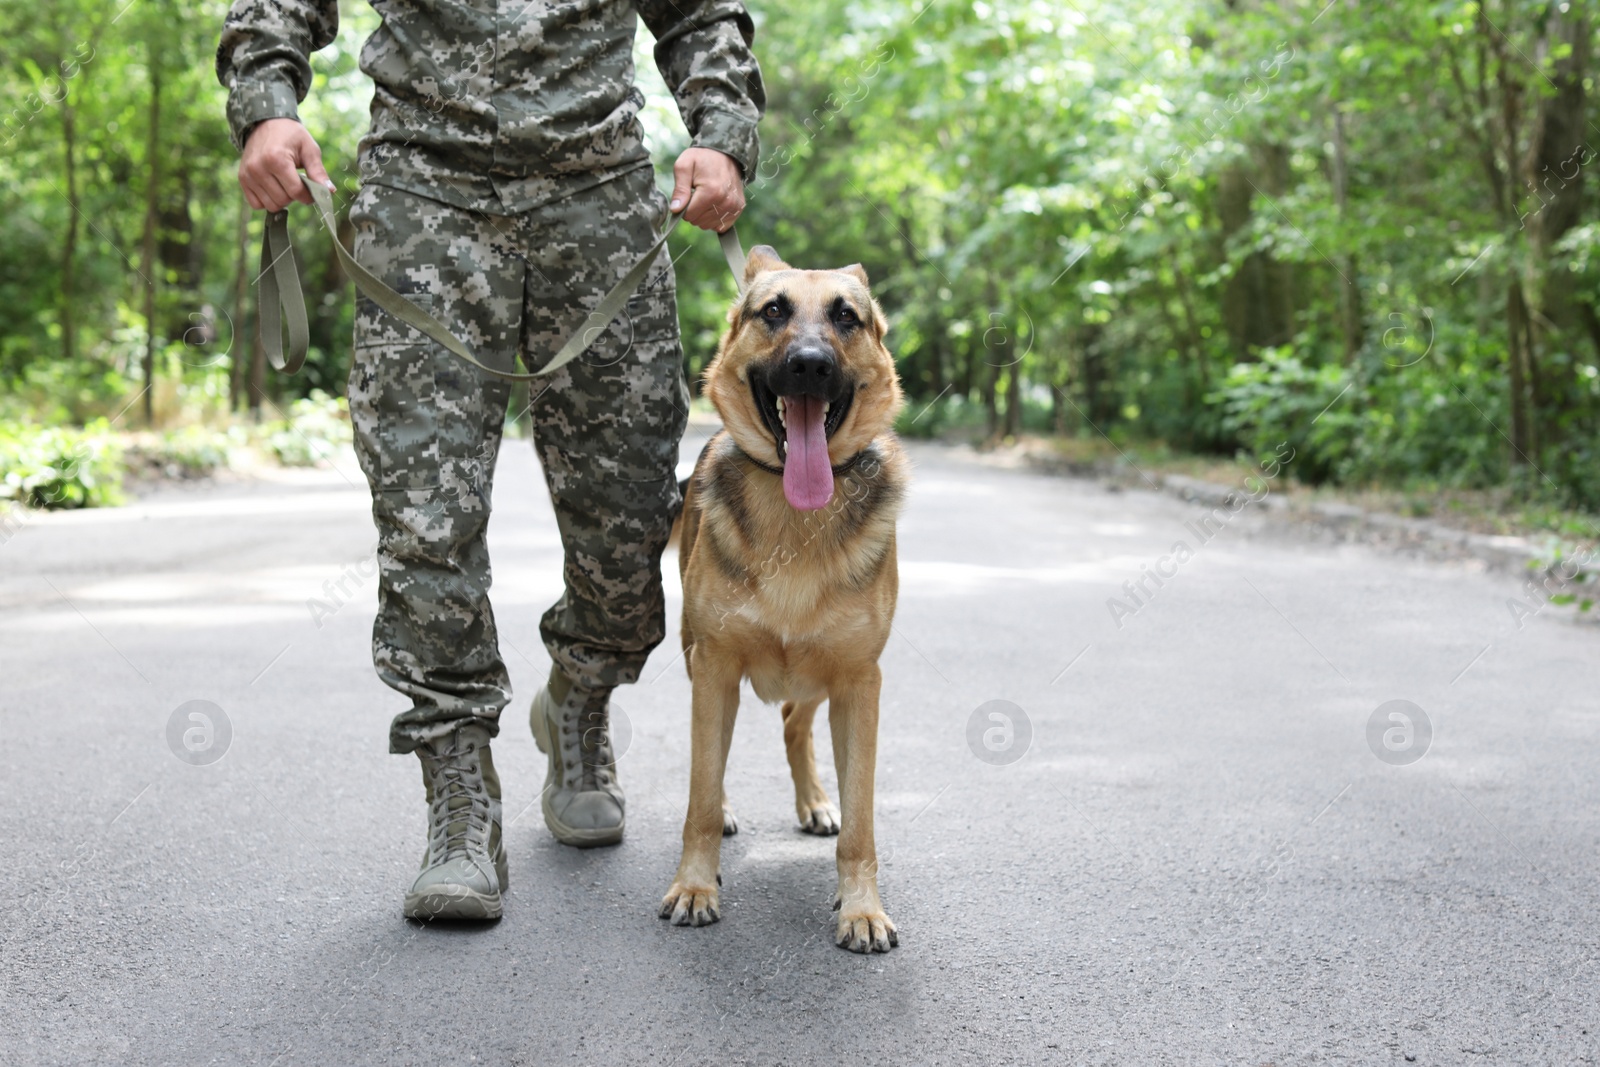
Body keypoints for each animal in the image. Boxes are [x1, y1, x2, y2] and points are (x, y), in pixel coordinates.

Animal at [656, 246, 908, 953]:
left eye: (847, 317)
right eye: (773, 311)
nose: (811, 365)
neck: (798, 521)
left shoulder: (860, 682)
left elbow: (863, 821)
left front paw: (861, 908)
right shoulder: (715, 667)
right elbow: (700, 793)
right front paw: (696, 886)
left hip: (820, 673)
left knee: (797, 722)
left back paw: (818, 802)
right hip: (701, 661)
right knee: (716, 760)